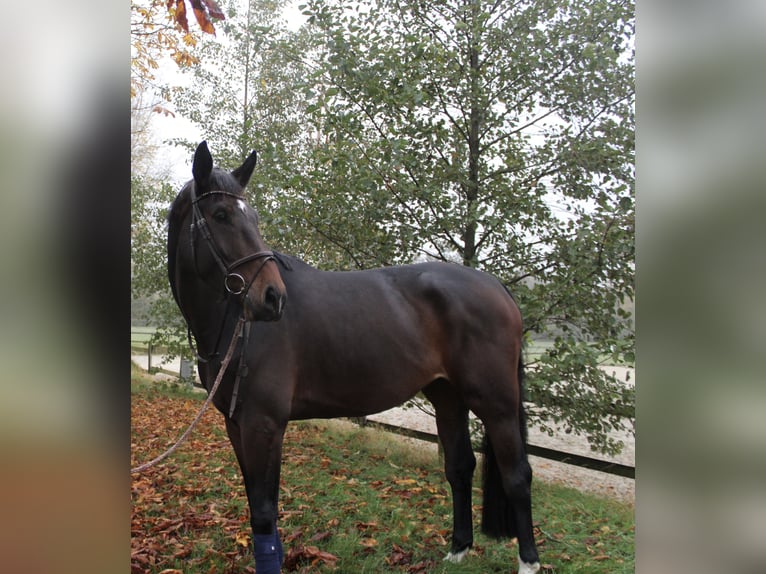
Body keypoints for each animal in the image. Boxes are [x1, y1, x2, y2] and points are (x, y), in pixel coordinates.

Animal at [166, 141, 544, 574]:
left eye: (254, 218)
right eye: (221, 215)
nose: (273, 298)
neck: (235, 323)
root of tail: (495, 286)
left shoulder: (264, 424)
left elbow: (264, 511)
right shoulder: (236, 424)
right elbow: (257, 506)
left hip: (496, 403)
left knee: (517, 476)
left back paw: (528, 562)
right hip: (448, 397)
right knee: (460, 467)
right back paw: (457, 550)